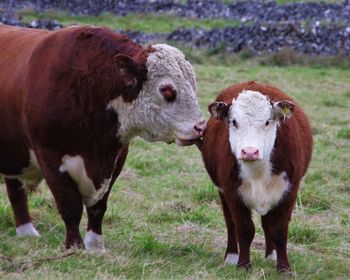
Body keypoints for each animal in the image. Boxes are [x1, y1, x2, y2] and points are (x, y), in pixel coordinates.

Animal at [0, 25, 206, 250]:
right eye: (167, 90)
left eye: (194, 85)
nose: (200, 127)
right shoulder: (50, 156)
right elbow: (70, 206)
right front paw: (75, 247)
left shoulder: (116, 158)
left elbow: (98, 207)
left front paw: (95, 246)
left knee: (15, 189)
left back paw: (26, 231)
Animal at [201, 81, 314, 272]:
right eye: (234, 122)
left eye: (268, 121)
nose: (249, 151)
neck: (257, 171)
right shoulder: (232, 192)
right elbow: (244, 229)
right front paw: (243, 265)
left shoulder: (289, 192)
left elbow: (279, 230)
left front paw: (284, 267)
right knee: (230, 222)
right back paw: (231, 256)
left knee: (268, 224)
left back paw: (271, 255)